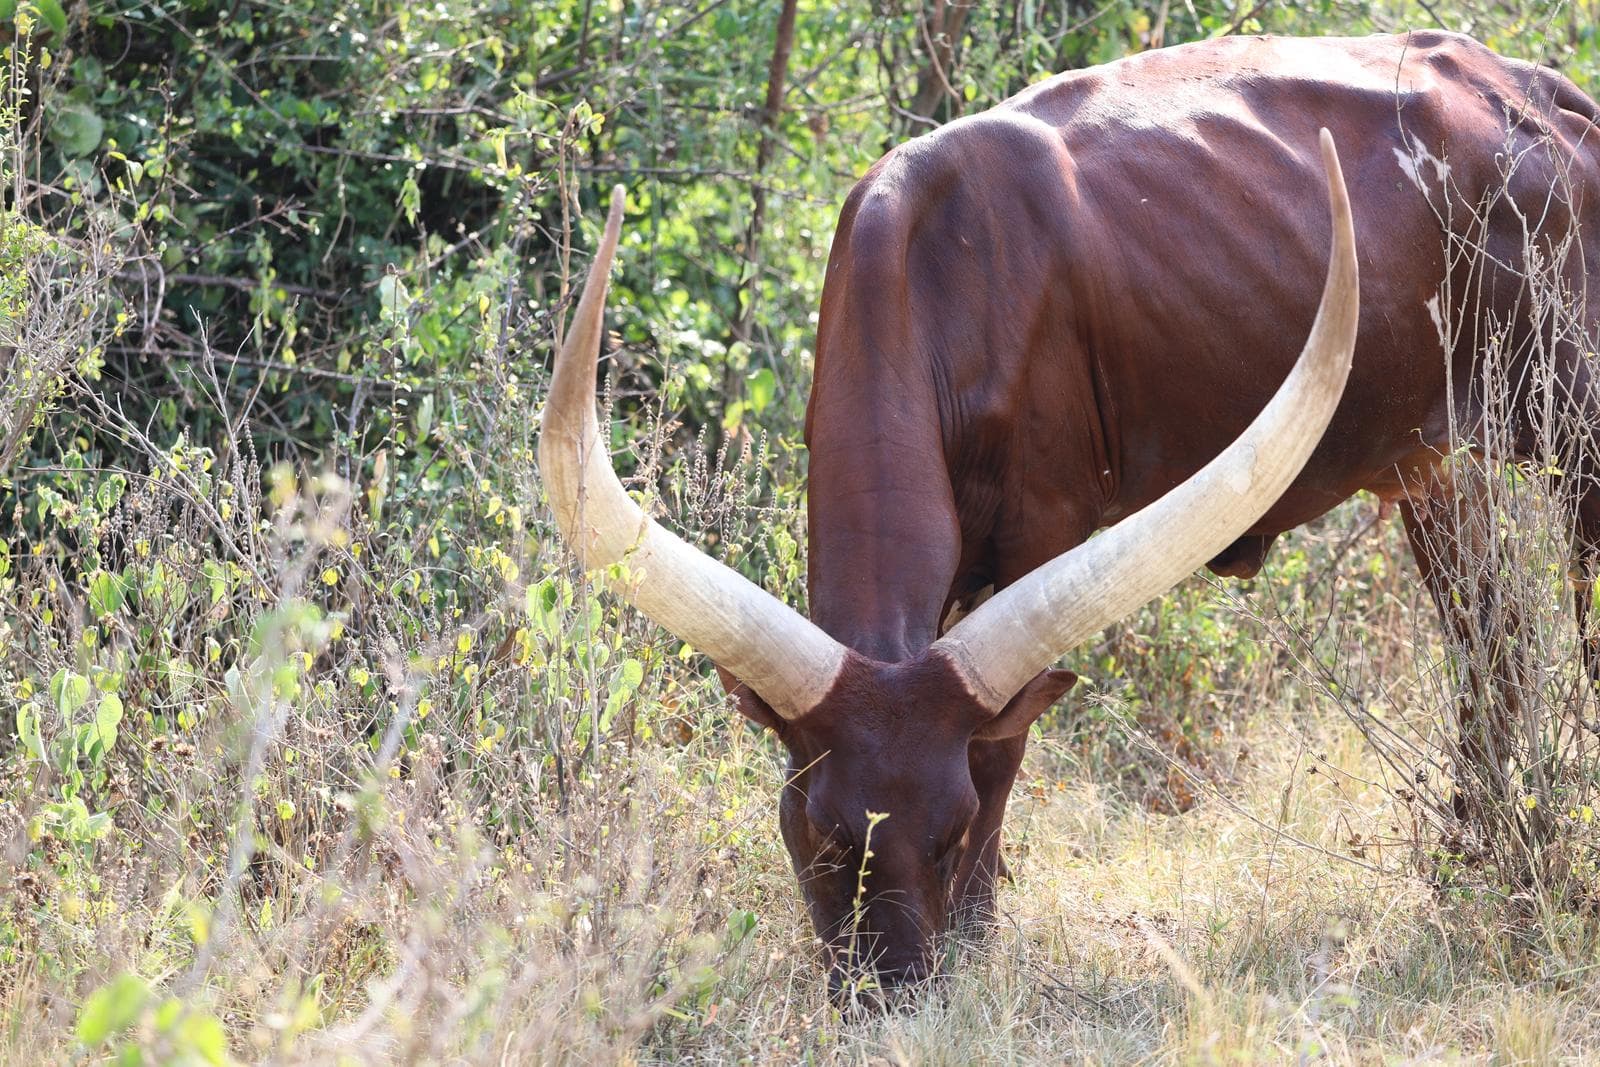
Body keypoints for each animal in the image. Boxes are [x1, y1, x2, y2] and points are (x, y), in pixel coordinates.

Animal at [540, 31, 1600, 996]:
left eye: (951, 829)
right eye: (823, 833)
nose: (893, 991)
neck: (936, 269)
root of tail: (1540, 95)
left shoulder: (1041, 525)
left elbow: (1005, 744)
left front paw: (979, 929)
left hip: (1576, 442)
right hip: (1434, 467)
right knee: (1495, 647)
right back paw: (1470, 858)